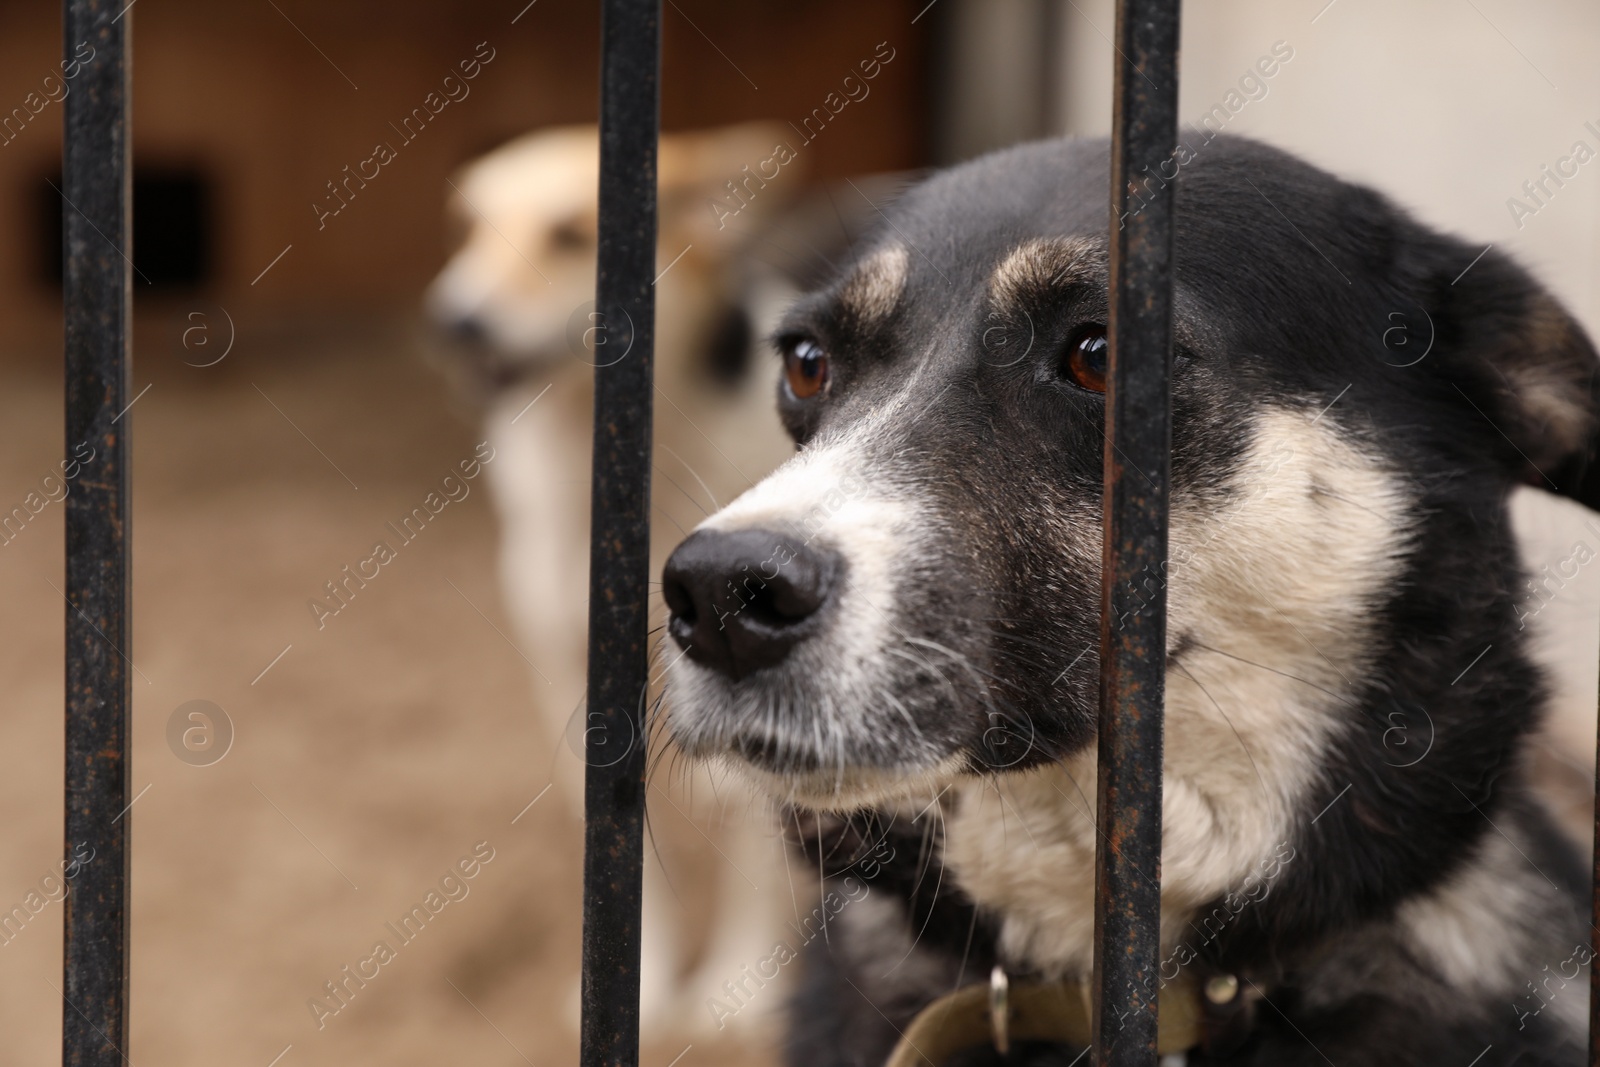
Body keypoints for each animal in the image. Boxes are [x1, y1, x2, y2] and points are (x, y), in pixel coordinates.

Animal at [428, 123, 806, 1036]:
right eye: (470, 228)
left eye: (571, 235)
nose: (452, 320)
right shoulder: (572, 677)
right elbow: (618, 847)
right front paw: (646, 983)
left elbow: (753, 851)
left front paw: (743, 985)